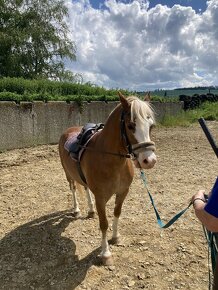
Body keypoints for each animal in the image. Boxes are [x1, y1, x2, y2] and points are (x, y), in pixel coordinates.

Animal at [58, 92, 157, 266]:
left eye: (151, 126)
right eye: (130, 126)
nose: (149, 160)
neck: (110, 158)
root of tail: (68, 131)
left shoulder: (123, 192)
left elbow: (117, 213)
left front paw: (115, 237)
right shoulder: (101, 197)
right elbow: (103, 224)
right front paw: (105, 254)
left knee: (85, 188)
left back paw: (90, 211)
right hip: (68, 174)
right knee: (73, 189)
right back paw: (77, 210)